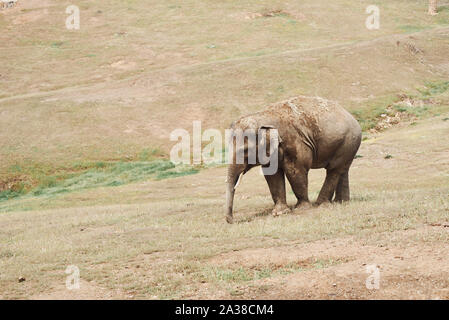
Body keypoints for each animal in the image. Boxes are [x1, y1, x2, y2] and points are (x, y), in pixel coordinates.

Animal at [224, 96, 360, 224]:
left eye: (245, 151)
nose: (233, 221)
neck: (262, 116)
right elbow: (272, 175)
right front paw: (279, 213)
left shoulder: (294, 142)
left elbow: (295, 171)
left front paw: (301, 208)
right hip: (347, 145)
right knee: (342, 169)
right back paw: (341, 202)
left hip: (348, 142)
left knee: (333, 170)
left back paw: (320, 205)